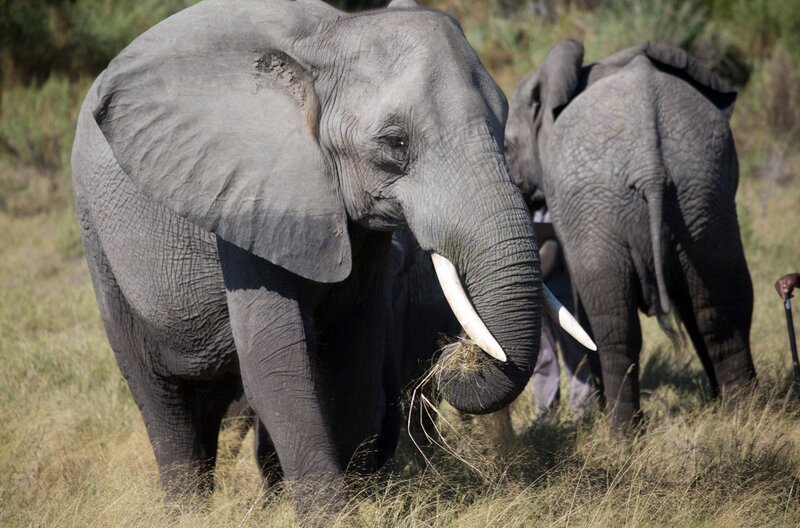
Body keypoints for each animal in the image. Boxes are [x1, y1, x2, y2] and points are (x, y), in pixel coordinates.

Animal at [71, 0, 590, 517]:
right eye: (395, 143)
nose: (456, 356)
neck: (330, 37)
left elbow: (354, 354)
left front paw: (363, 503)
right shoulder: (251, 195)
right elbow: (275, 366)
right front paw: (333, 517)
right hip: (98, 242)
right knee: (162, 400)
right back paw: (187, 513)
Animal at [504, 40, 757, 431]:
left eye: (508, 146)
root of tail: (650, 164)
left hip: (600, 205)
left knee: (610, 323)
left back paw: (621, 432)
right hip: (703, 193)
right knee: (722, 306)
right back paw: (744, 416)